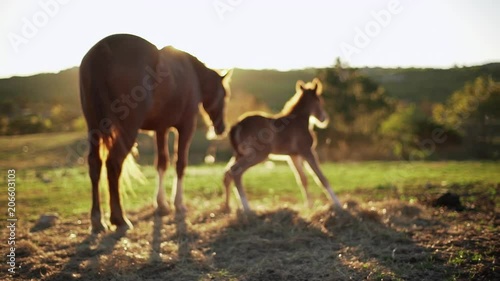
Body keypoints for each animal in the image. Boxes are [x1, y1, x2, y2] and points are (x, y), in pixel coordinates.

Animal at [80, 34, 232, 232]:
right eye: (225, 95)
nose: (221, 128)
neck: (192, 74)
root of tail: (102, 49)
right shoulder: (186, 126)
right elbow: (180, 163)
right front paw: (178, 204)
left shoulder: (161, 129)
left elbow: (162, 162)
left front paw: (162, 204)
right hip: (128, 128)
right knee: (114, 164)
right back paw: (119, 218)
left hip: (94, 127)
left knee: (95, 164)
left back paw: (97, 220)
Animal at [223, 77, 340, 211]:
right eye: (319, 100)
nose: (324, 118)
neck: (300, 119)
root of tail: (237, 125)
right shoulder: (307, 151)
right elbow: (321, 178)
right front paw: (338, 204)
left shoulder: (294, 156)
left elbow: (302, 179)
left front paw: (309, 207)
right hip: (258, 155)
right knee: (235, 171)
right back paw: (247, 209)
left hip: (239, 154)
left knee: (227, 174)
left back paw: (227, 207)